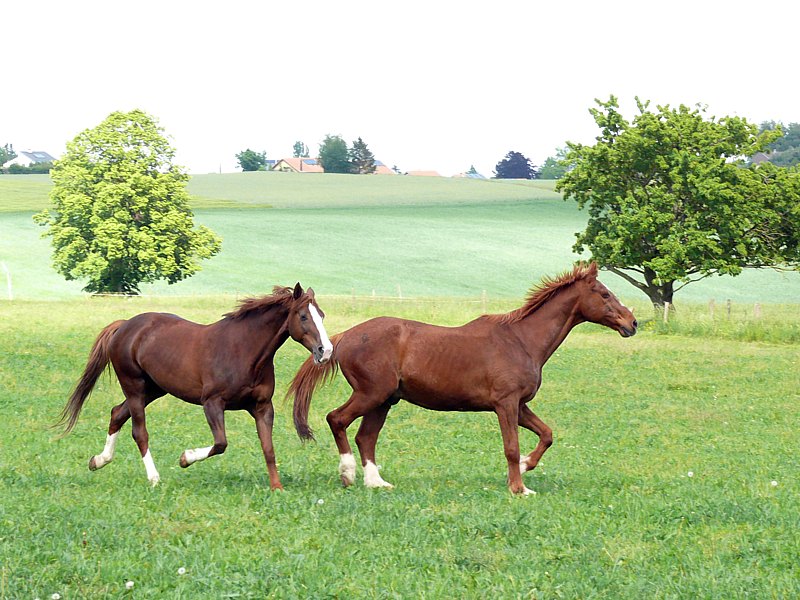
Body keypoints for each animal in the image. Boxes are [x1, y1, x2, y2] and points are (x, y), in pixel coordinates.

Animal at [57, 283, 333, 490]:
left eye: (322, 315)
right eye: (303, 316)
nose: (326, 351)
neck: (244, 351)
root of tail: (124, 326)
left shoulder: (262, 406)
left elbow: (268, 448)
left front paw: (277, 488)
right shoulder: (212, 403)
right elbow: (221, 443)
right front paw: (185, 458)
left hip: (153, 389)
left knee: (117, 413)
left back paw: (98, 460)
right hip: (134, 387)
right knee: (139, 431)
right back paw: (154, 478)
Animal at [289, 263, 637, 495]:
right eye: (605, 294)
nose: (632, 323)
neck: (522, 340)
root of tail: (342, 337)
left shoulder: (520, 405)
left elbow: (547, 434)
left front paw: (526, 466)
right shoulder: (506, 404)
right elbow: (511, 446)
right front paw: (519, 487)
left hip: (384, 401)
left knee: (366, 437)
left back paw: (376, 482)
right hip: (371, 395)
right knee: (337, 419)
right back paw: (347, 474)